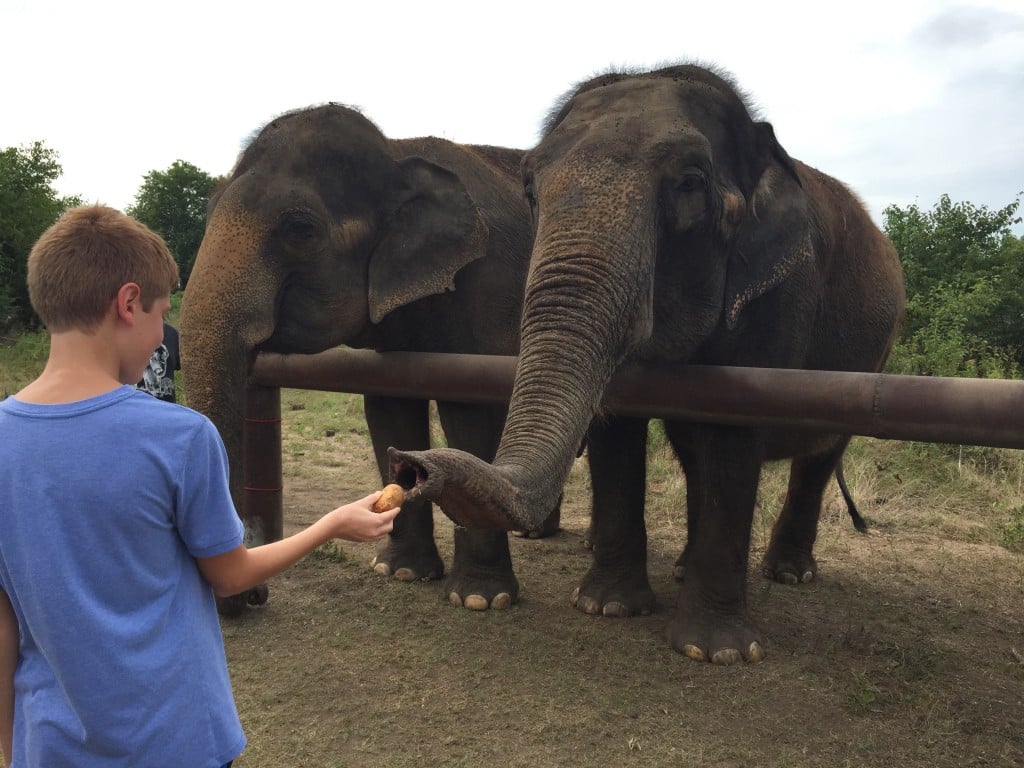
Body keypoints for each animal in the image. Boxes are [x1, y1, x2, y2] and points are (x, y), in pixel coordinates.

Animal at [178, 103, 552, 618]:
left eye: (300, 230)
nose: (255, 595)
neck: (398, 152)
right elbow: (388, 405)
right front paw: (401, 573)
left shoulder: (488, 285)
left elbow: (470, 416)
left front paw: (480, 598)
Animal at [389, 64, 905, 667]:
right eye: (529, 191)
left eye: (690, 184)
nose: (411, 466)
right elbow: (618, 425)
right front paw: (608, 608)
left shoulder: (779, 295)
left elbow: (734, 433)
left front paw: (715, 652)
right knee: (694, 452)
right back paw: (684, 568)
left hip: (875, 350)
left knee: (820, 454)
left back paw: (788, 574)